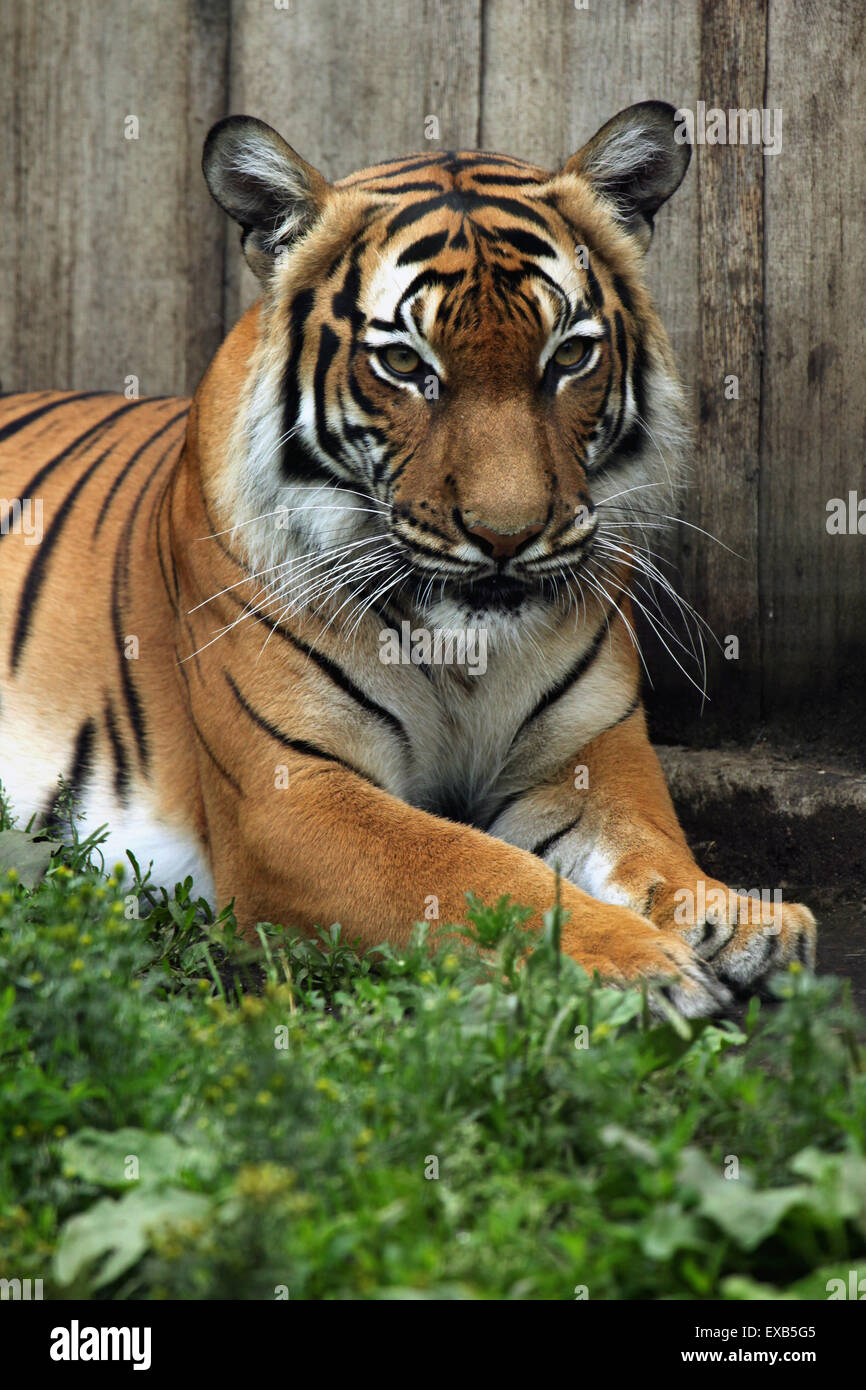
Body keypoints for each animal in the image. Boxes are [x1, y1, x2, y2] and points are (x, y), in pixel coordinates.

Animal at [0, 97, 817, 1011]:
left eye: (569, 356)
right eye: (402, 363)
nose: (507, 535)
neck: (462, 652)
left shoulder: (585, 751)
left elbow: (647, 841)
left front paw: (739, 918)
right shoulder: (291, 797)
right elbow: (475, 870)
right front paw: (639, 964)